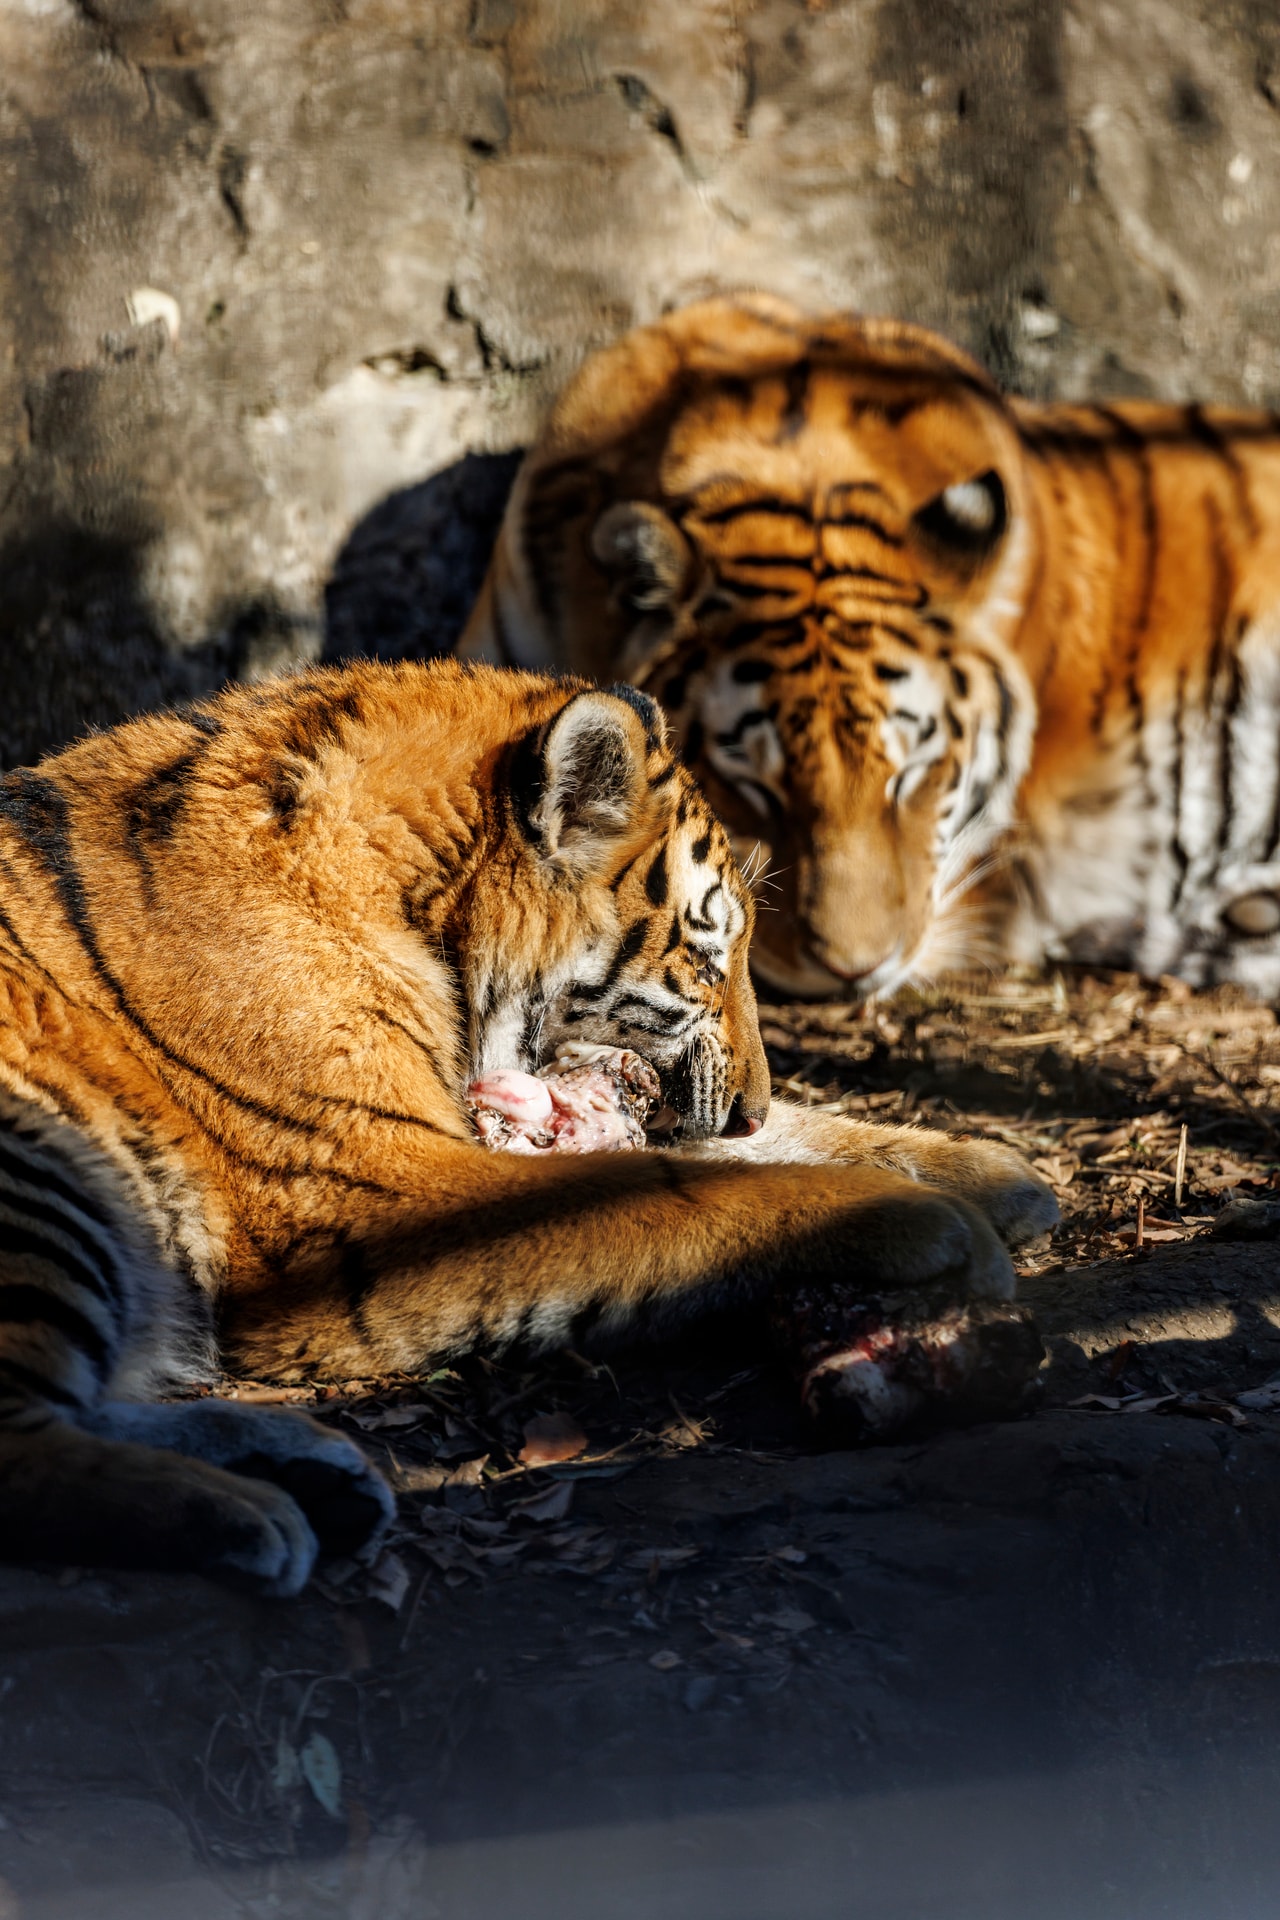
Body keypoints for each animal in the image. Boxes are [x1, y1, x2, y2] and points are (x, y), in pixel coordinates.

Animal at [0, 656, 1059, 1589]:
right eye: (707, 961)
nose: (749, 1107)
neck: (409, 896)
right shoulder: (366, 1182)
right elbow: (680, 1187)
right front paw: (936, 1225)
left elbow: (768, 1142)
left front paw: (1001, 1173)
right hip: (47, 1162)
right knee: (24, 1446)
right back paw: (258, 1516)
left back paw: (314, 1477)